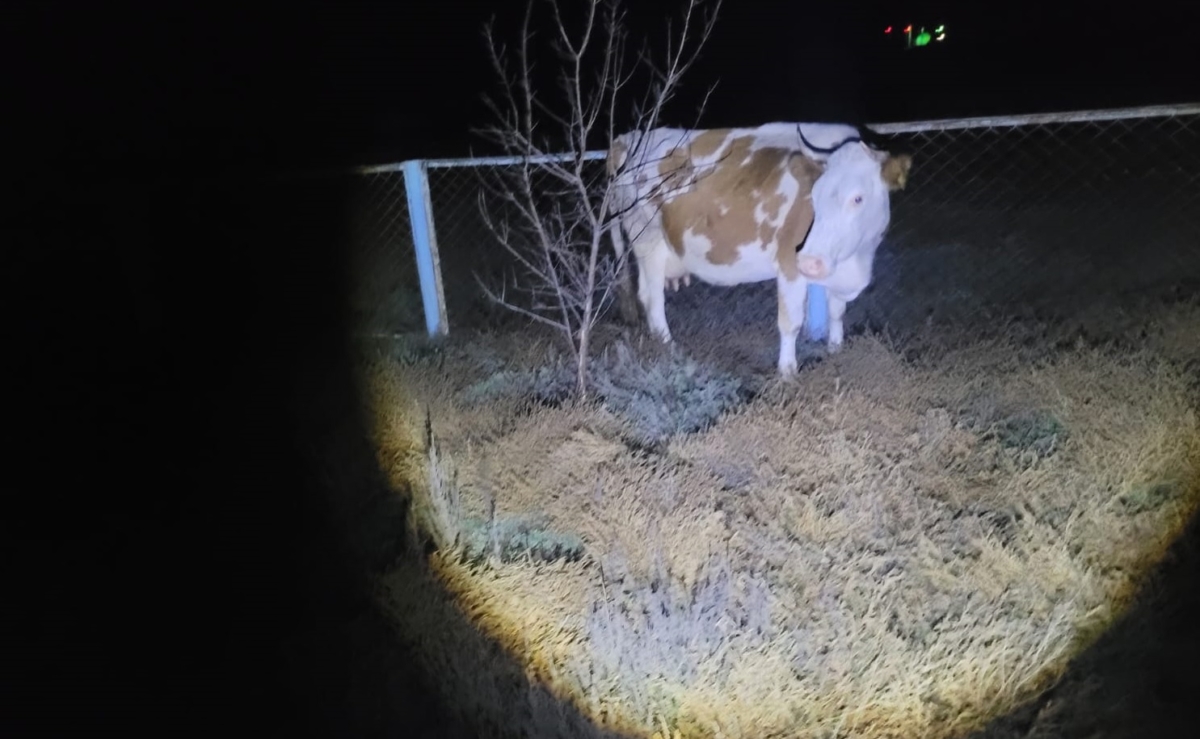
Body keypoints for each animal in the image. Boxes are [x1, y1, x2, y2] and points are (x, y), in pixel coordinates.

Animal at [606, 122, 913, 376]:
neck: (857, 261)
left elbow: (836, 312)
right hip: (648, 238)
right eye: (813, 195)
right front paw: (787, 373)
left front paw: (836, 352)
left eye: (858, 198)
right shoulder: (790, 263)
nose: (809, 262)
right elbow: (791, 322)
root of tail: (629, 138)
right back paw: (669, 349)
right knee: (653, 299)